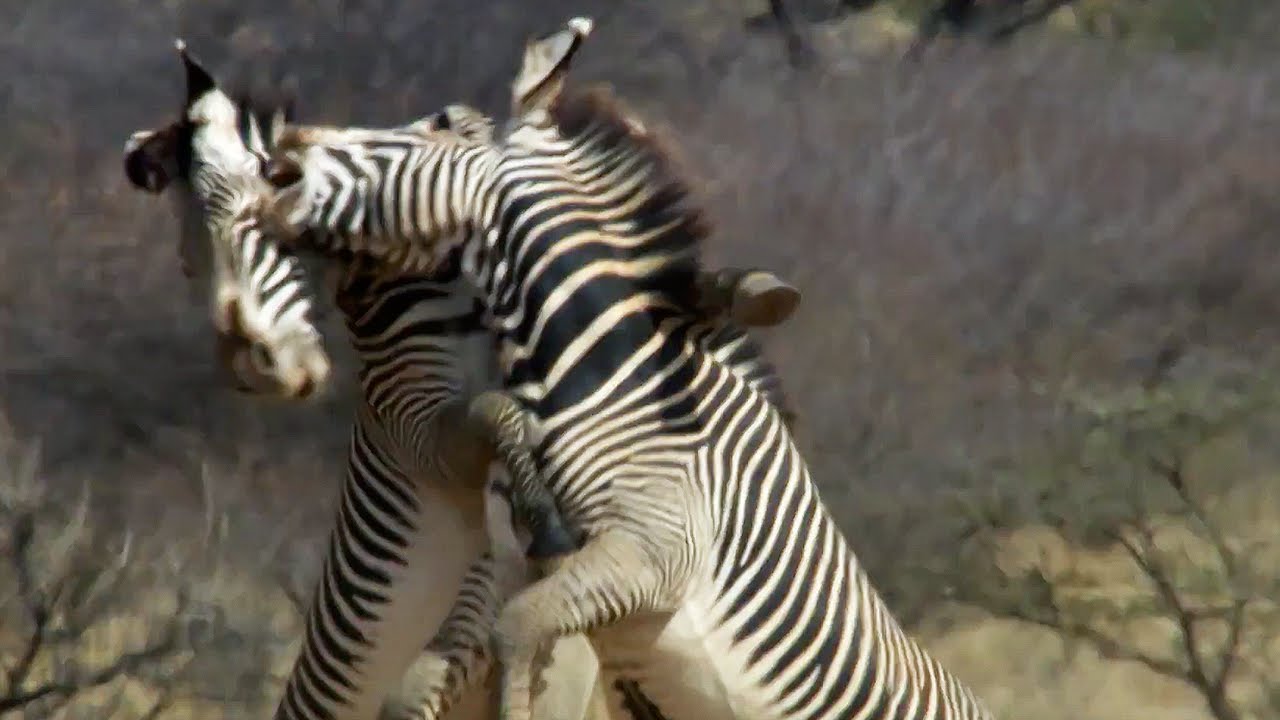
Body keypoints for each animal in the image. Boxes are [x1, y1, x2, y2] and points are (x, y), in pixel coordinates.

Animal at [233, 16, 996, 720]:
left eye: (440, 125)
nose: (286, 145)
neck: (606, 377)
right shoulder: (529, 561)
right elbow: (464, 651)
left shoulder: (651, 552)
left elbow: (515, 633)